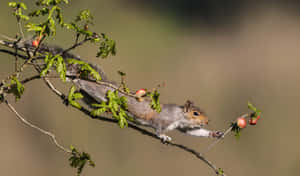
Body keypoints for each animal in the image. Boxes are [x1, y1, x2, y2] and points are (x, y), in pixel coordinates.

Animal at [17, 39, 223, 142]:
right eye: (196, 113)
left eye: (201, 113)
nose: (207, 121)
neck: (178, 115)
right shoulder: (161, 120)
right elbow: (158, 129)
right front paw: (164, 136)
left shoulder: (182, 126)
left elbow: (192, 132)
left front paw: (214, 133)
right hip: (96, 91)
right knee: (82, 84)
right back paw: (74, 81)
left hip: (91, 99)